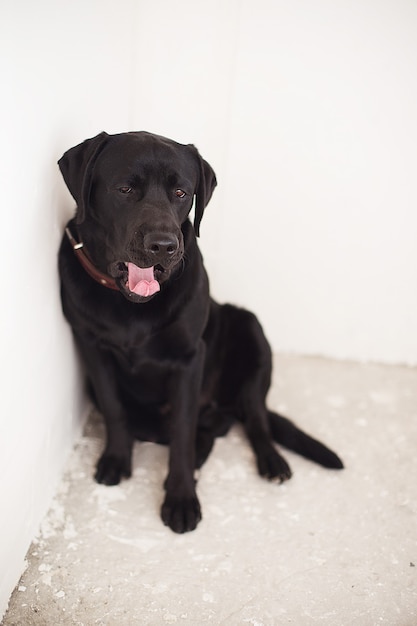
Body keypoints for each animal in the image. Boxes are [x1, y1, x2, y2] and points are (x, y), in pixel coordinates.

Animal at [58, 132, 342, 532]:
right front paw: (116, 459)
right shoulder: (91, 346)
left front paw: (180, 498)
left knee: (254, 417)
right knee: (205, 433)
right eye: (125, 188)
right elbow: (115, 408)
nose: (163, 245)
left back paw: (270, 461)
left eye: (181, 192)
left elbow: (182, 432)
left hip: (251, 331)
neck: (131, 306)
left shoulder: (189, 359)